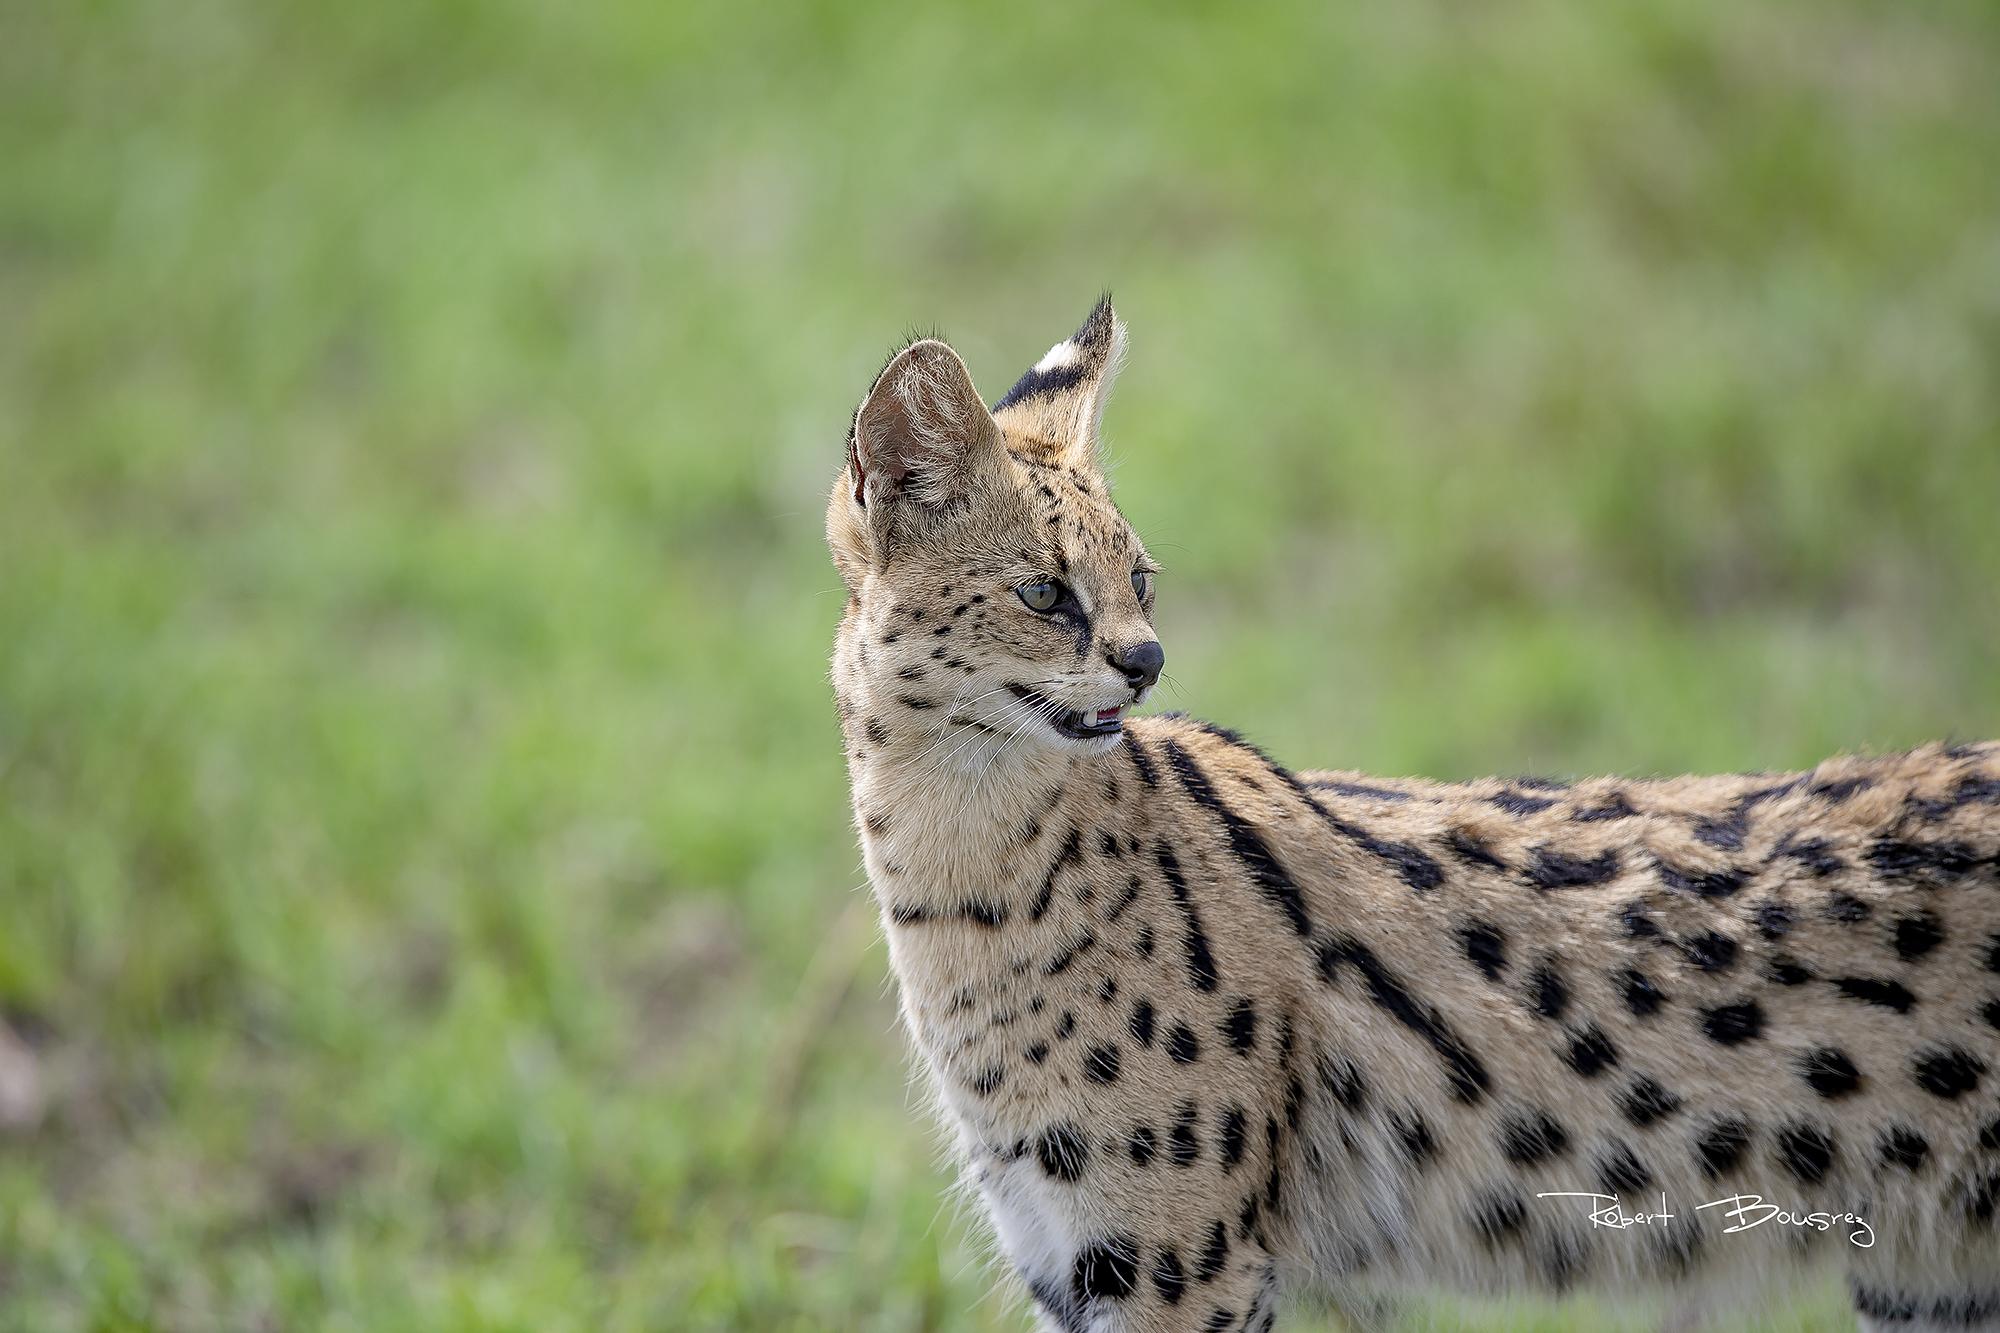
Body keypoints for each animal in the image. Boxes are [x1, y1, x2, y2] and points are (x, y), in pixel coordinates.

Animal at [820, 296, 1992, 1320]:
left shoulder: (1177, 1261)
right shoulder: (1068, 1251)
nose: (1145, 661)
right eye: (1043, 592)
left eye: (1140, 580)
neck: (951, 877)